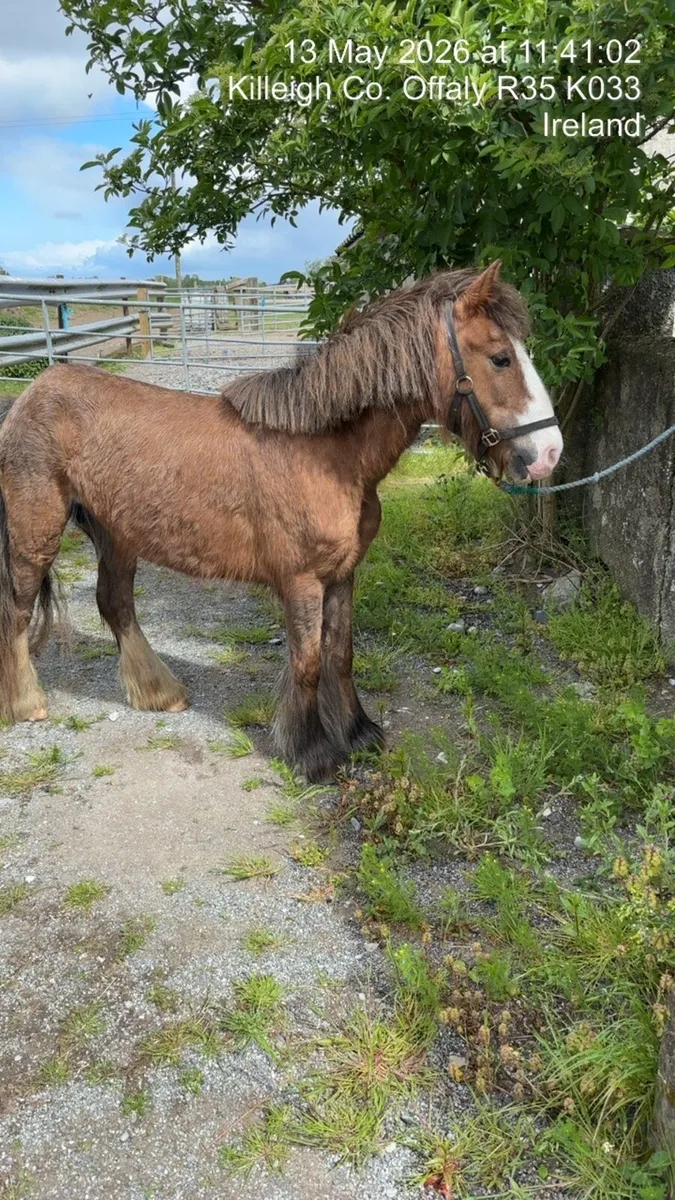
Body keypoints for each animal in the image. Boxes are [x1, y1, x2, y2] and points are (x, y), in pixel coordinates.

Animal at [0, 262, 563, 781]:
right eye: (500, 357)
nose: (549, 452)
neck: (326, 453)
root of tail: (28, 396)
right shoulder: (302, 582)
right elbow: (308, 664)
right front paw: (312, 753)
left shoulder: (343, 574)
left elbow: (341, 654)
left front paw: (358, 733)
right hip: (36, 534)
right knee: (19, 611)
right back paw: (26, 703)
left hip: (117, 535)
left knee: (115, 605)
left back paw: (159, 692)